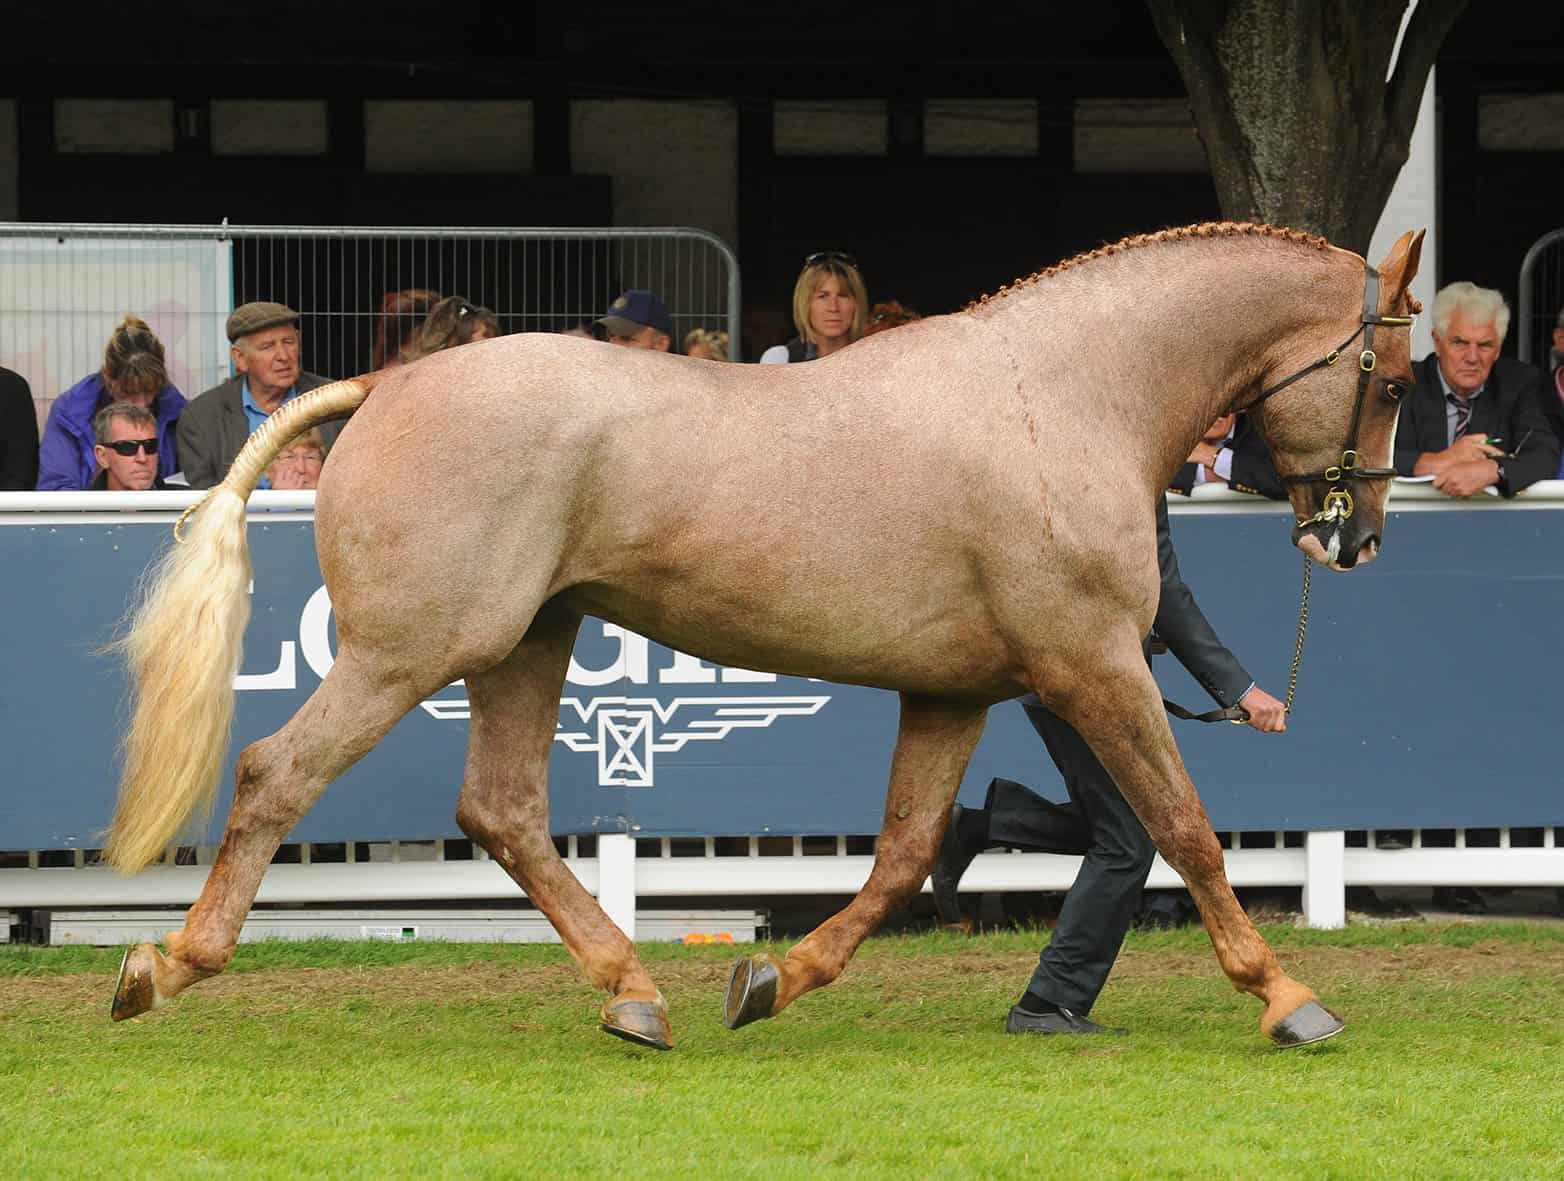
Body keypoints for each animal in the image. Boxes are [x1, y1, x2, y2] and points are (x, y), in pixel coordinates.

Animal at [104, 222, 1424, 1050]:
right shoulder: (1094, 665)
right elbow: (1184, 828)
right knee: (277, 772)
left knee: (503, 811)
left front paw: (771, 979)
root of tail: (388, 385)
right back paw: (163, 964)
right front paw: (1288, 997)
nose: (1353, 539)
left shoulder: (953, 692)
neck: (1056, 394)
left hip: (527, 641)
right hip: (409, 651)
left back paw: (635, 994)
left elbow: (903, 855)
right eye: (1398, 378)